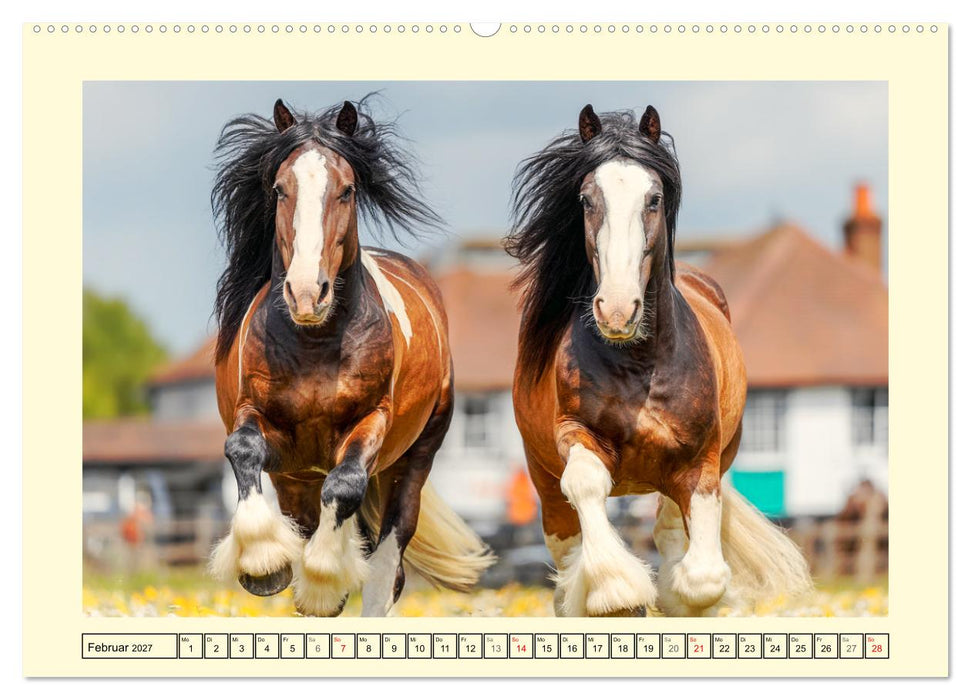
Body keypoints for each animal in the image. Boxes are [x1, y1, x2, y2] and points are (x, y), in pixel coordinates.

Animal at [208, 98, 494, 616]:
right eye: (279, 189)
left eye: (347, 190)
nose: (306, 294)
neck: (315, 344)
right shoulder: (267, 427)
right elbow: (242, 449)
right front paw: (262, 563)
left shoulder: (370, 424)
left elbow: (344, 485)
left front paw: (324, 578)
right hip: (296, 479)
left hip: (413, 461)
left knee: (386, 566)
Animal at [504, 104, 812, 617]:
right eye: (586, 199)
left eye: (654, 198)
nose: (616, 309)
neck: (639, 364)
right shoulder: (573, 434)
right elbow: (585, 483)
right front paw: (616, 590)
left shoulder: (701, 462)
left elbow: (702, 577)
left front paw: (673, 594)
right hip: (543, 479)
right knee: (566, 545)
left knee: (669, 525)